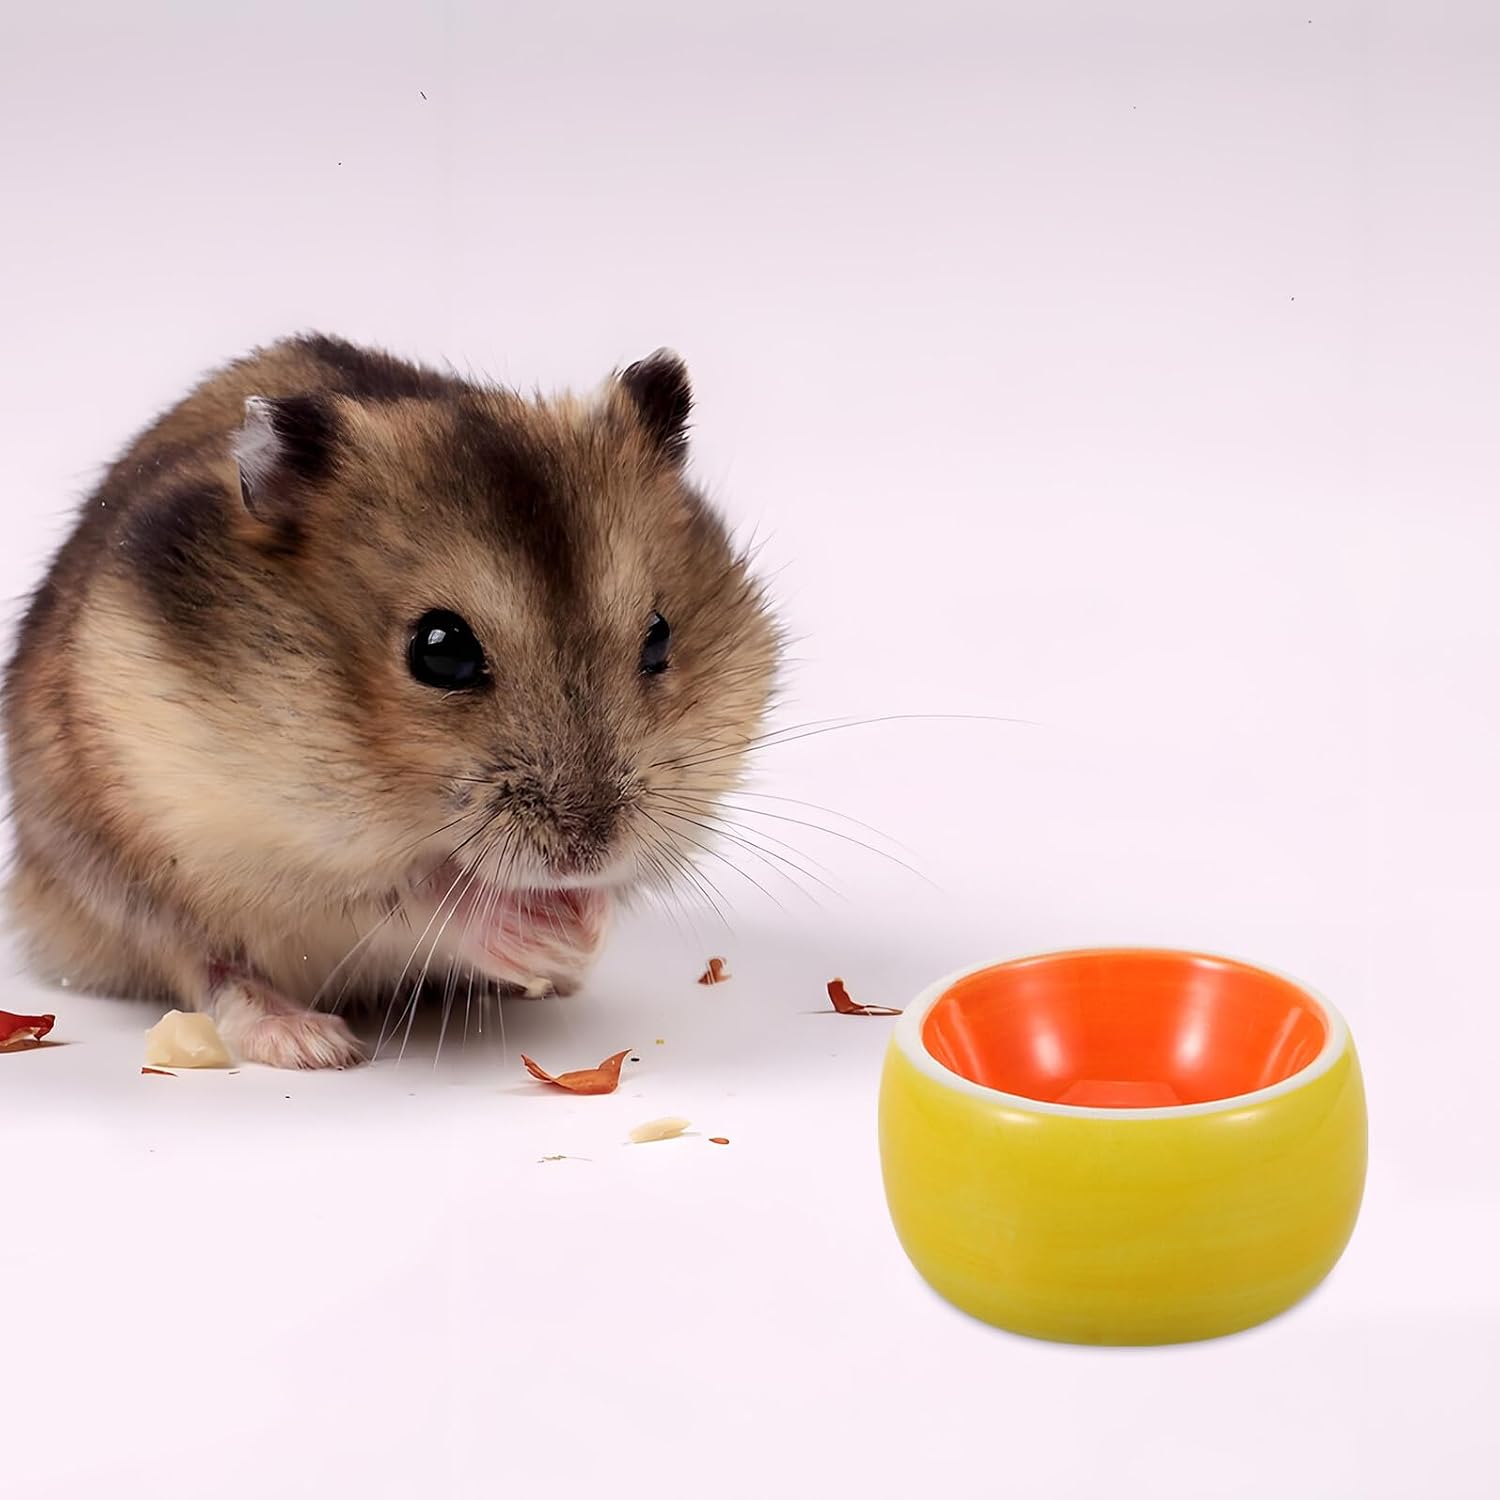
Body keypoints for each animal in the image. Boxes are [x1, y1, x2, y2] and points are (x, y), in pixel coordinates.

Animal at [2, 334, 778, 1068]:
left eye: (660, 636)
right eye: (441, 650)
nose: (588, 855)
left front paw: (581, 930)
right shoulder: (247, 841)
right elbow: (418, 895)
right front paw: (542, 932)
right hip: (118, 881)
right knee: (209, 966)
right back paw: (312, 1042)